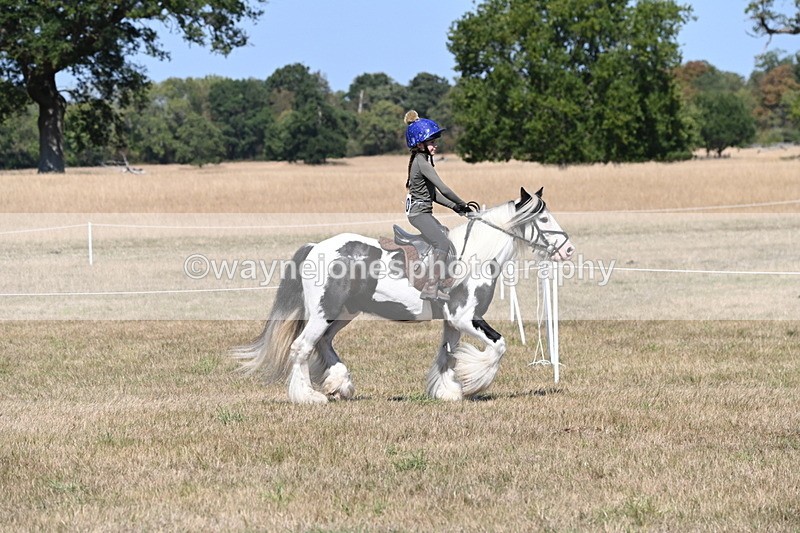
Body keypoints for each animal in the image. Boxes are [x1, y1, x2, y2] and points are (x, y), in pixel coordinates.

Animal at [232, 187, 574, 403]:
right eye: (543, 218)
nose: (568, 250)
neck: (475, 255)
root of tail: (316, 247)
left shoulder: (452, 323)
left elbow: (447, 354)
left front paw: (447, 392)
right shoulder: (466, 318)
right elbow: (498, 346)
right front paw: (473, 382)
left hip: (343, 314)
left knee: (323, 343)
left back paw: (340, 384)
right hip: (323, 313)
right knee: (302, 347)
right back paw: (308, 396)